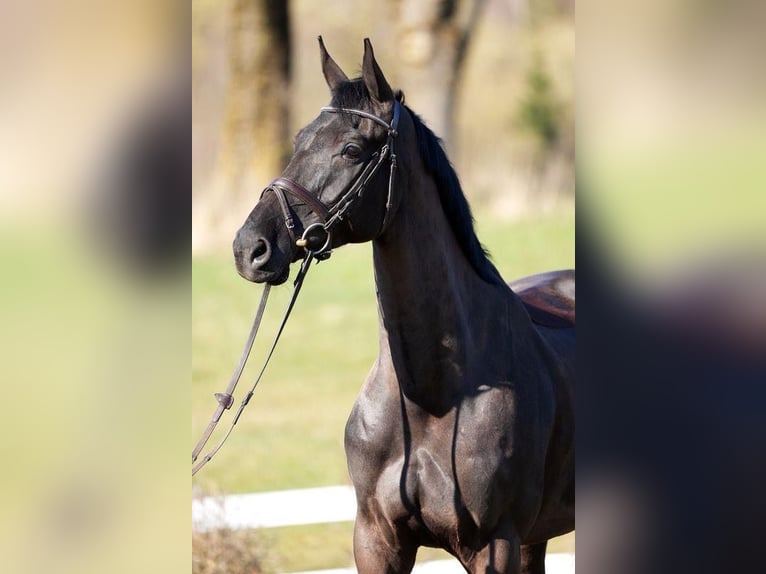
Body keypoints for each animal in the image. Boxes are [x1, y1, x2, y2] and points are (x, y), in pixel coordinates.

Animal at [233, 37, 575, 574]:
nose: (251, 248)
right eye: (299, 141)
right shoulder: (377, 540)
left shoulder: (495, 545)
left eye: (352, 149)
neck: (433, 396)